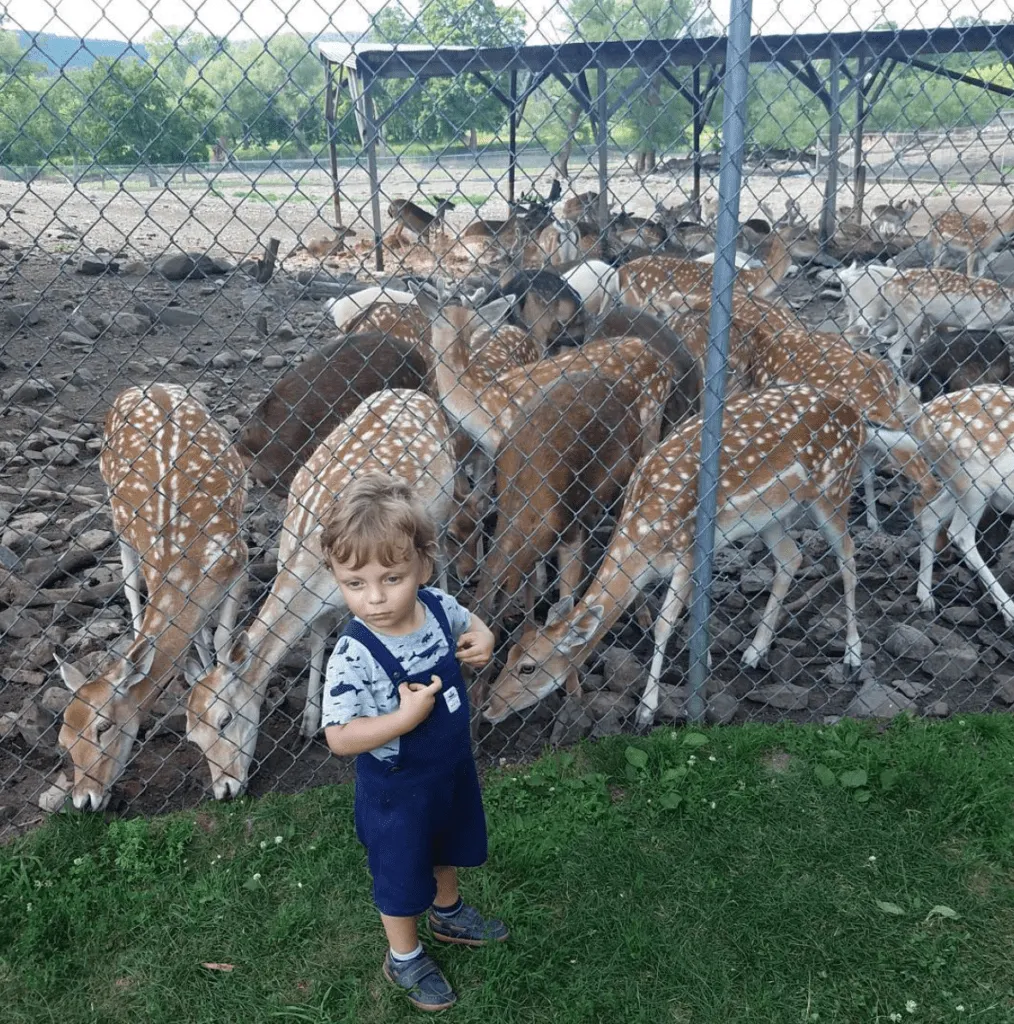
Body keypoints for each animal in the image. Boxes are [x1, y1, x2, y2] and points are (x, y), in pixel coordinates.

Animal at [56, 382, 248, 806]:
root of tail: (143, 386)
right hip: (116, 516)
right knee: (130, 588)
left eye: (103, 727)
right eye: (62, 739)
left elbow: (223, 639)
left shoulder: (238, 561)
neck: (187, 572)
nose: (83, 800)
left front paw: (214, 674)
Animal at [186, 387, 460, 794]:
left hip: (443, 504)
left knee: (442, 555)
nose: (225, 790)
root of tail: (416, 393)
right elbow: (316, 637)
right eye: (191, 736)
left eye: (225, 719)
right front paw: (308, 725)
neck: (310, 567)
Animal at [483, 385, 864, 729]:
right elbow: (694, 606)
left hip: (834, 487)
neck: (643, 540)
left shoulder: (686, 554)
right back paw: (754, 652)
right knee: (790, 558)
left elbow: (664, 626)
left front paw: (646, 711)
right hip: (769, 514)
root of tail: (855, 415)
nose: (488, 706)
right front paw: (704, 660)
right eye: (509, 653)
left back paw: (853, 653)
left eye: (528, 666)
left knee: (848, 555)